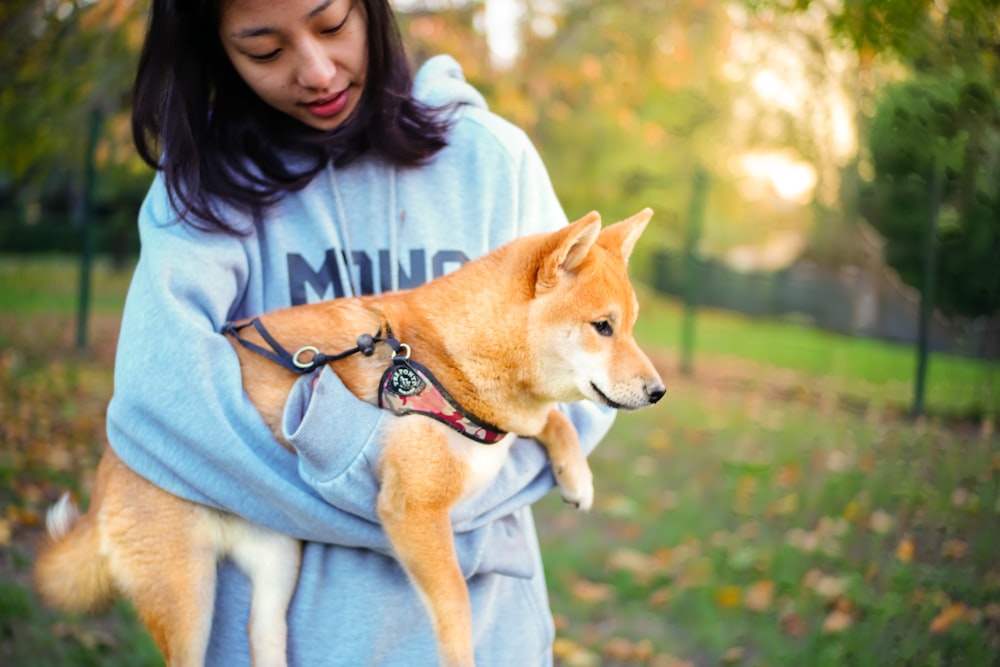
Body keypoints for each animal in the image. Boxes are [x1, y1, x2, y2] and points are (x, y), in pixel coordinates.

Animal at [35, 209, 668, 667]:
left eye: (634, 327)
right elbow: (456, 610)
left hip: (277, 565)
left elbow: (553, 419)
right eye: (603, 327)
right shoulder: (415, 511)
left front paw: (576, 475)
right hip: (187, 598)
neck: (451, 357)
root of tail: (108, 475)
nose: (659, 391)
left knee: (262, 639)